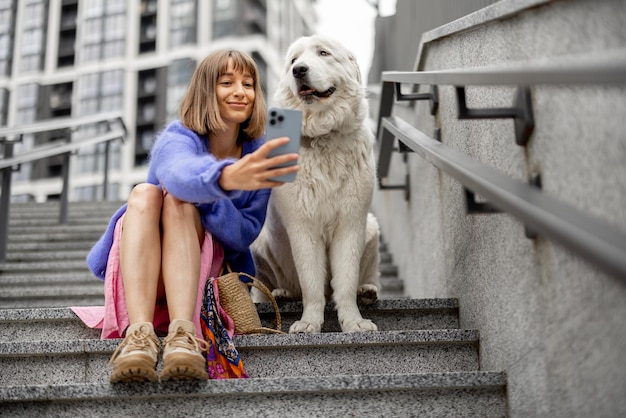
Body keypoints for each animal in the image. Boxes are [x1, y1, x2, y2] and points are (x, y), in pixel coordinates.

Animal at [250, 36, 378, 334]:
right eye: (293, 61)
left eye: (323, 53)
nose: (299, 70)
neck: (323, 136)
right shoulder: (303, 226)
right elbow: (311, 284)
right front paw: (309, 322)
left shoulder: (351, 223)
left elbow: (345, 281)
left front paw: (353, 322)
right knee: (281, 288)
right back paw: (280, 294)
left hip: (371, 226)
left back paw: (367, 291)